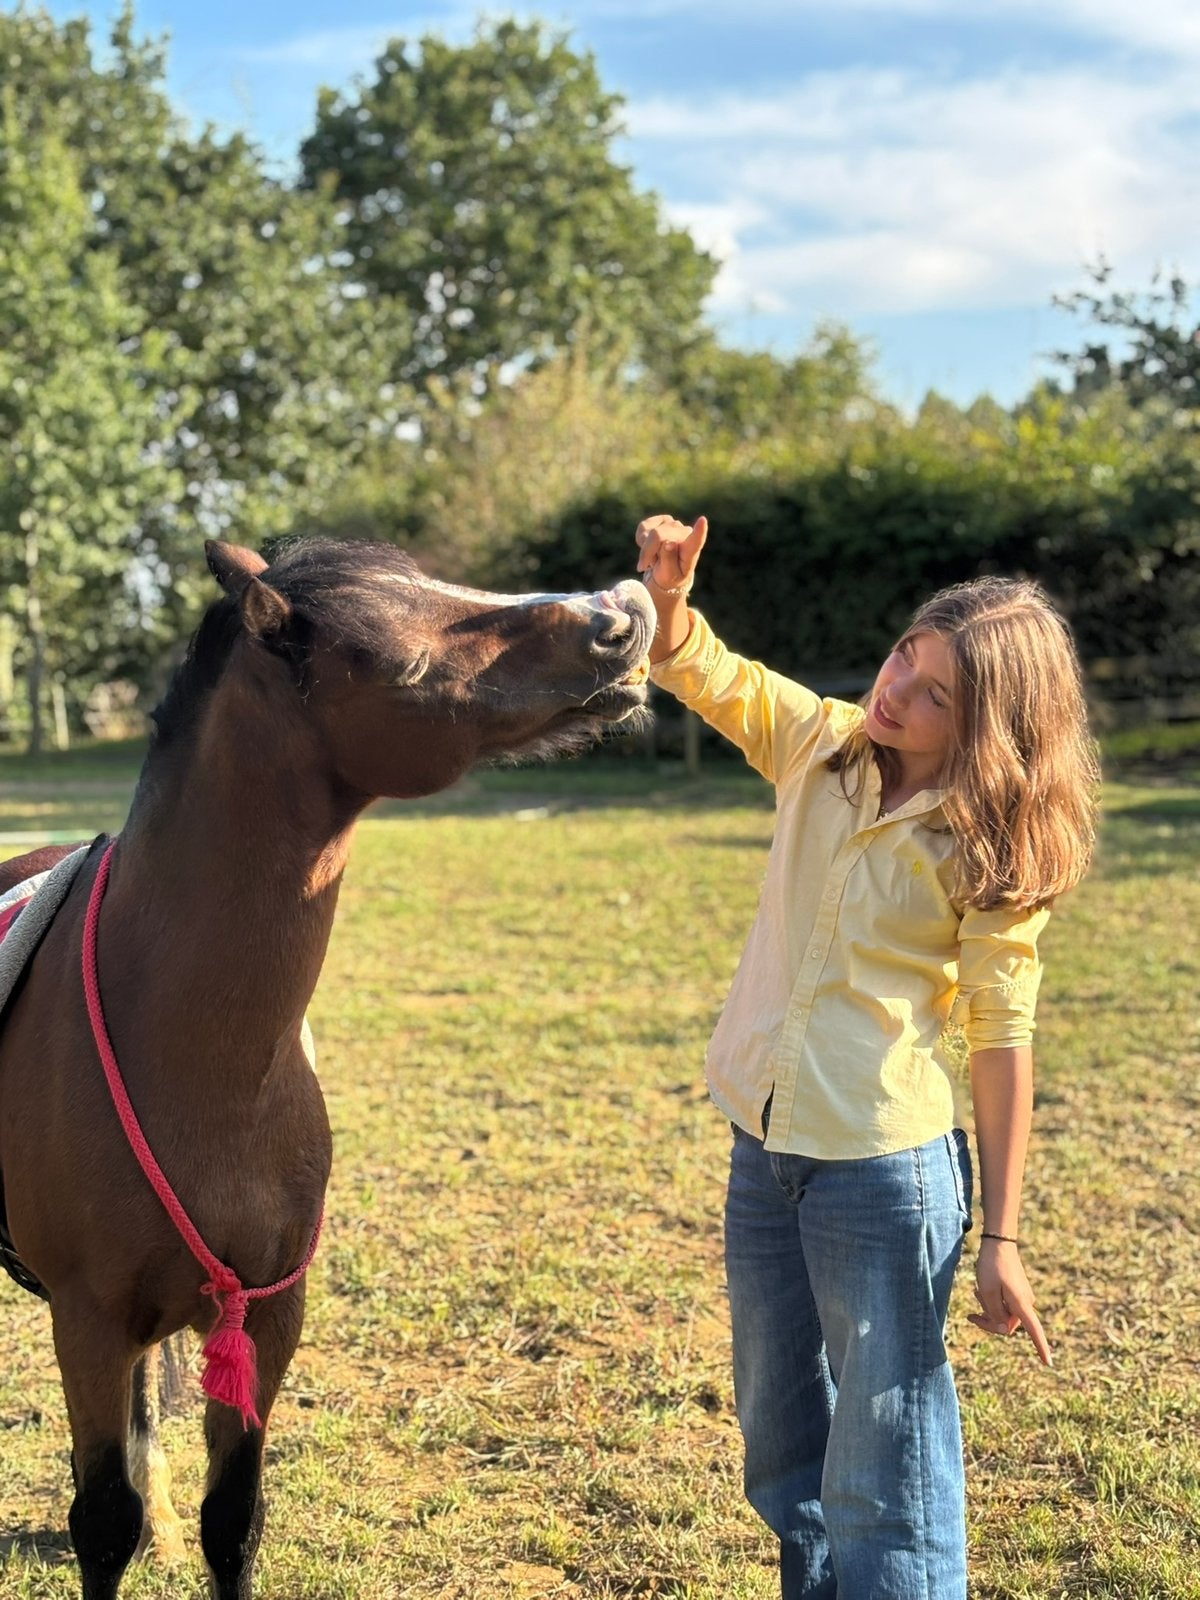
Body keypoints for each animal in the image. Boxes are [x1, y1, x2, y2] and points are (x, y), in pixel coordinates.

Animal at [0, 536, 655, 1600]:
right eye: (406, 662)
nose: (621, 612)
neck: (188, 1055)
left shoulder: (267, 1318)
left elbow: (231, 1520)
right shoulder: (88, 1323)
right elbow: (101, 1522)